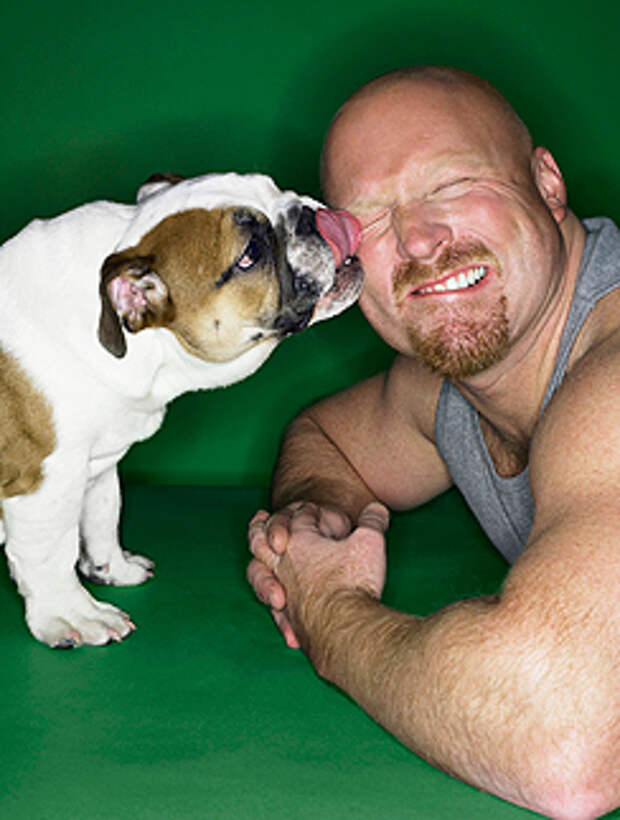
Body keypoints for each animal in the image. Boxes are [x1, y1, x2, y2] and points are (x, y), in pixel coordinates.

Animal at [0, 172, 363, 648]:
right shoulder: (44, 480)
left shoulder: (98, 461)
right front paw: (70, 613)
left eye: (273, 186)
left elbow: (103, 512)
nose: (309, 215)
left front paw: (111, 567)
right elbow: (50, 552)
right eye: (250, 254)